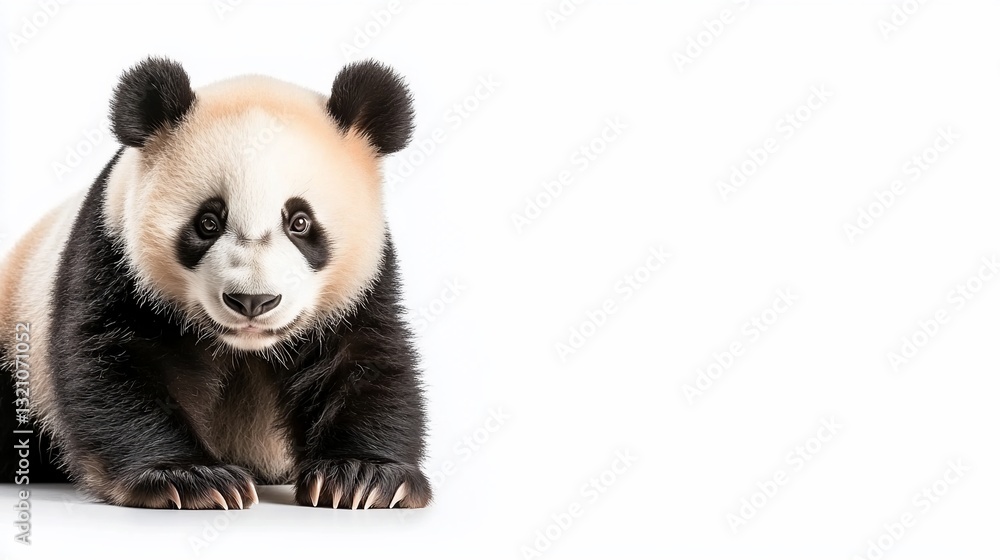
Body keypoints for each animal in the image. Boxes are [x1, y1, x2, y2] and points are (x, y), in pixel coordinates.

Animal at [0, 57, 431, 510]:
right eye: (208, 222)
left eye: (300, 222)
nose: (253, 301)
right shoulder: (113, 257)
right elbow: (112, 364)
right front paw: (192, 478)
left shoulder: (363, 285)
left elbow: (365, 362)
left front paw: (363, 475)